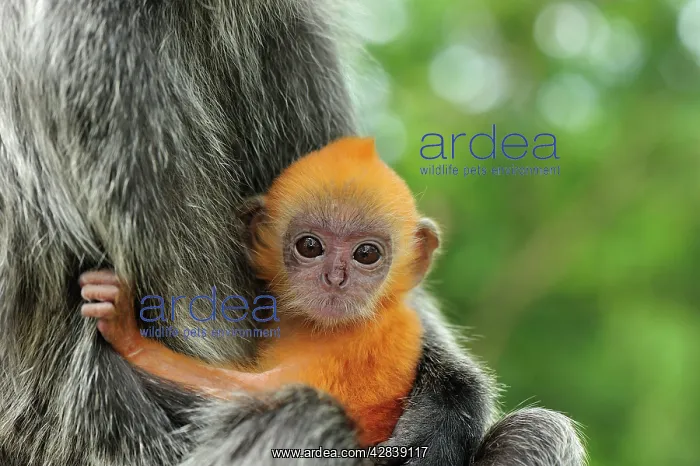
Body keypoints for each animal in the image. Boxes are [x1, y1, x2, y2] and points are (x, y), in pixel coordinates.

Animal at [79, 137, 436, 447]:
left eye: (366, 254)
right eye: (310, 246)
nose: (335, 278)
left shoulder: (362, 345)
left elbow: (248, 392)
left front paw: (127, 331)